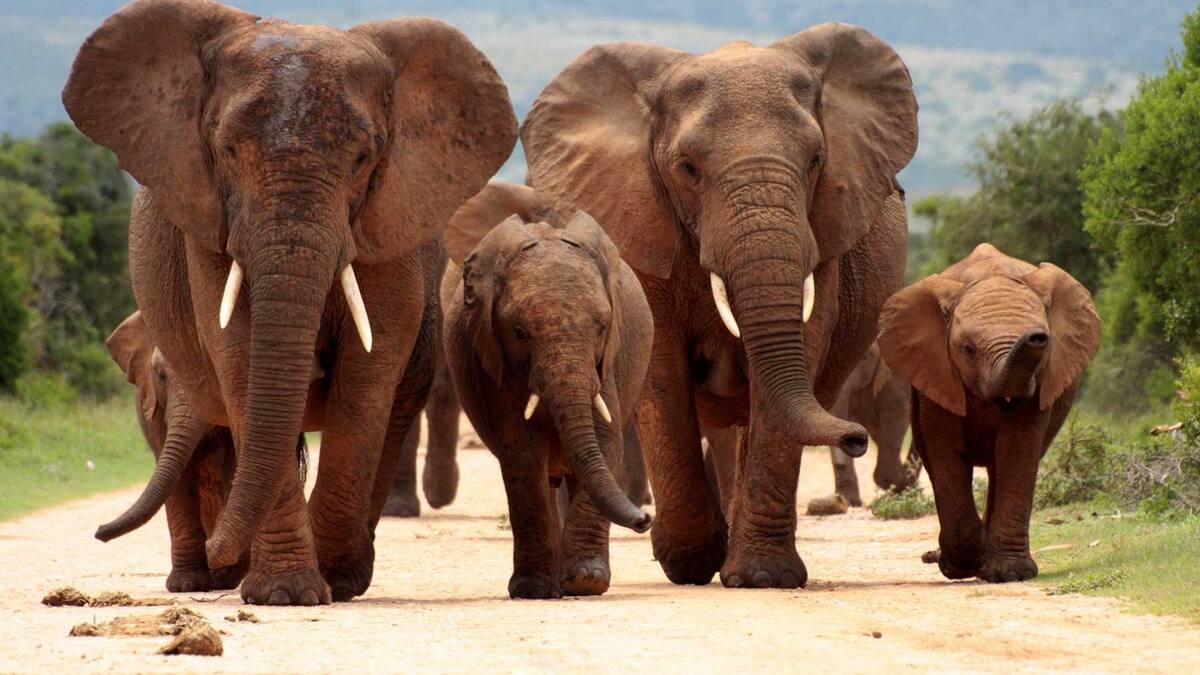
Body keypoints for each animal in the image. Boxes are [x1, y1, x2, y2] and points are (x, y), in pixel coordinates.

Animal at [63, 0, 516, 604]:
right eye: (227, 151)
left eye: (363, 158)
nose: (96, 534)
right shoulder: (210, 221)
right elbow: (238, 356)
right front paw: (285, 594)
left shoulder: (387, 223)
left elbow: (368, 374)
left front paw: (328, 582)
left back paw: (343, 574)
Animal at [442, 201, 655, 599]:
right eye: (520, 333)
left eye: (602, 328)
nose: (645, 518)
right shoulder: (494, 359)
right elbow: (521, 450)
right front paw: (534, 590)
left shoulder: (608, 362)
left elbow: (606, 437)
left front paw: (586, 582)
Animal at [521, 23, 917, 588]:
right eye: (688, 168)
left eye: (816, 160)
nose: (856, 437)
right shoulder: (639, 221)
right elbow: (661, 367)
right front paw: (688, 561)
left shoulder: (825, 235)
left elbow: (799, 350)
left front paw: (761, 577)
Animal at [877, 243, 1100, 583]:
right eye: (968, 350)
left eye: (1045, 343)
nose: (1036, 336)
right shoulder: (938, 372)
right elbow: (946, 452)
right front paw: (960, 566)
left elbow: (1017, 450)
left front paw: (1010, 574)